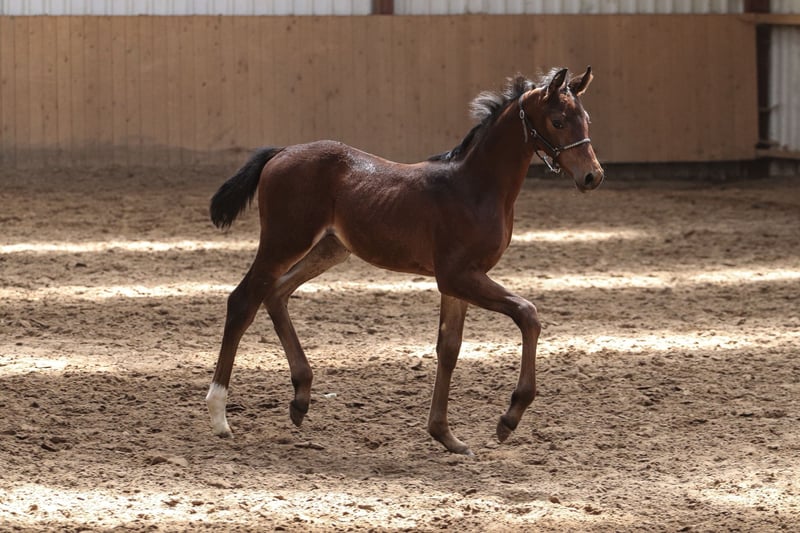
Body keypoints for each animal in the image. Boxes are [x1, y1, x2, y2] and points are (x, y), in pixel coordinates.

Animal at [206, 67, 603, 455]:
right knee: (243, 300)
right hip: (283, 241)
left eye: (586, 119)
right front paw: (509, 417)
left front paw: (444, 435)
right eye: (557, 121)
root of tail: (282, 151)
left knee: (275, 293)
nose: (593, 176)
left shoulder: (459, 281)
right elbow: (527, 315)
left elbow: (449, 347)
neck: (475, 188)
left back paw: (301, 397)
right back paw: (219, 414)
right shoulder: (458, 276)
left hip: (330, 248)